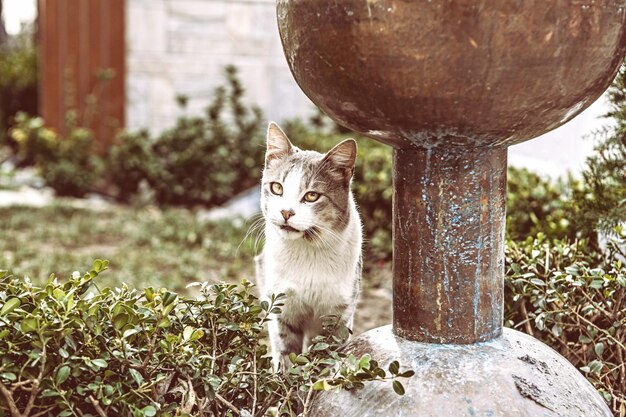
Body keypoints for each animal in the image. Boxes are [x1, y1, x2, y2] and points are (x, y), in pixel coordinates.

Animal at [254, 121, 360, 370]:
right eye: (277, 188)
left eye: (312, 196)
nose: (286, 212)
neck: (308, 251)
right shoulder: (281, 309)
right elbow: (285, 354)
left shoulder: (338, 315)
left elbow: (327, 354)